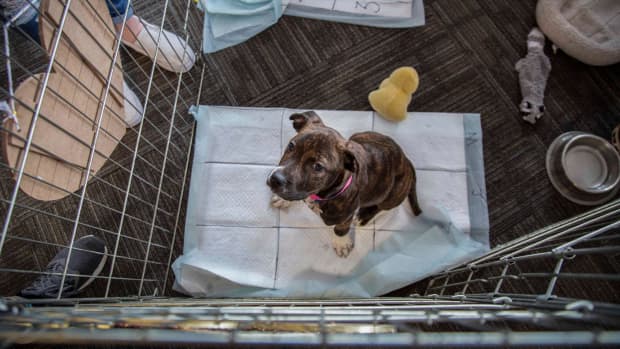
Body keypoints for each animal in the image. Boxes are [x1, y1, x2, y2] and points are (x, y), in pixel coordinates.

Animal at [266, 110, 422, 256]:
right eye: (291, 146)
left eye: (318, 167)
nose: (276, 179)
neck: (320, 195)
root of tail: (406, 161)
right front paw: (282, 199)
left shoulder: (345, 217)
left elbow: (340, 230)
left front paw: (341, 244)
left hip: (393, 194)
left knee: (382, 207)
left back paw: (363, 216)